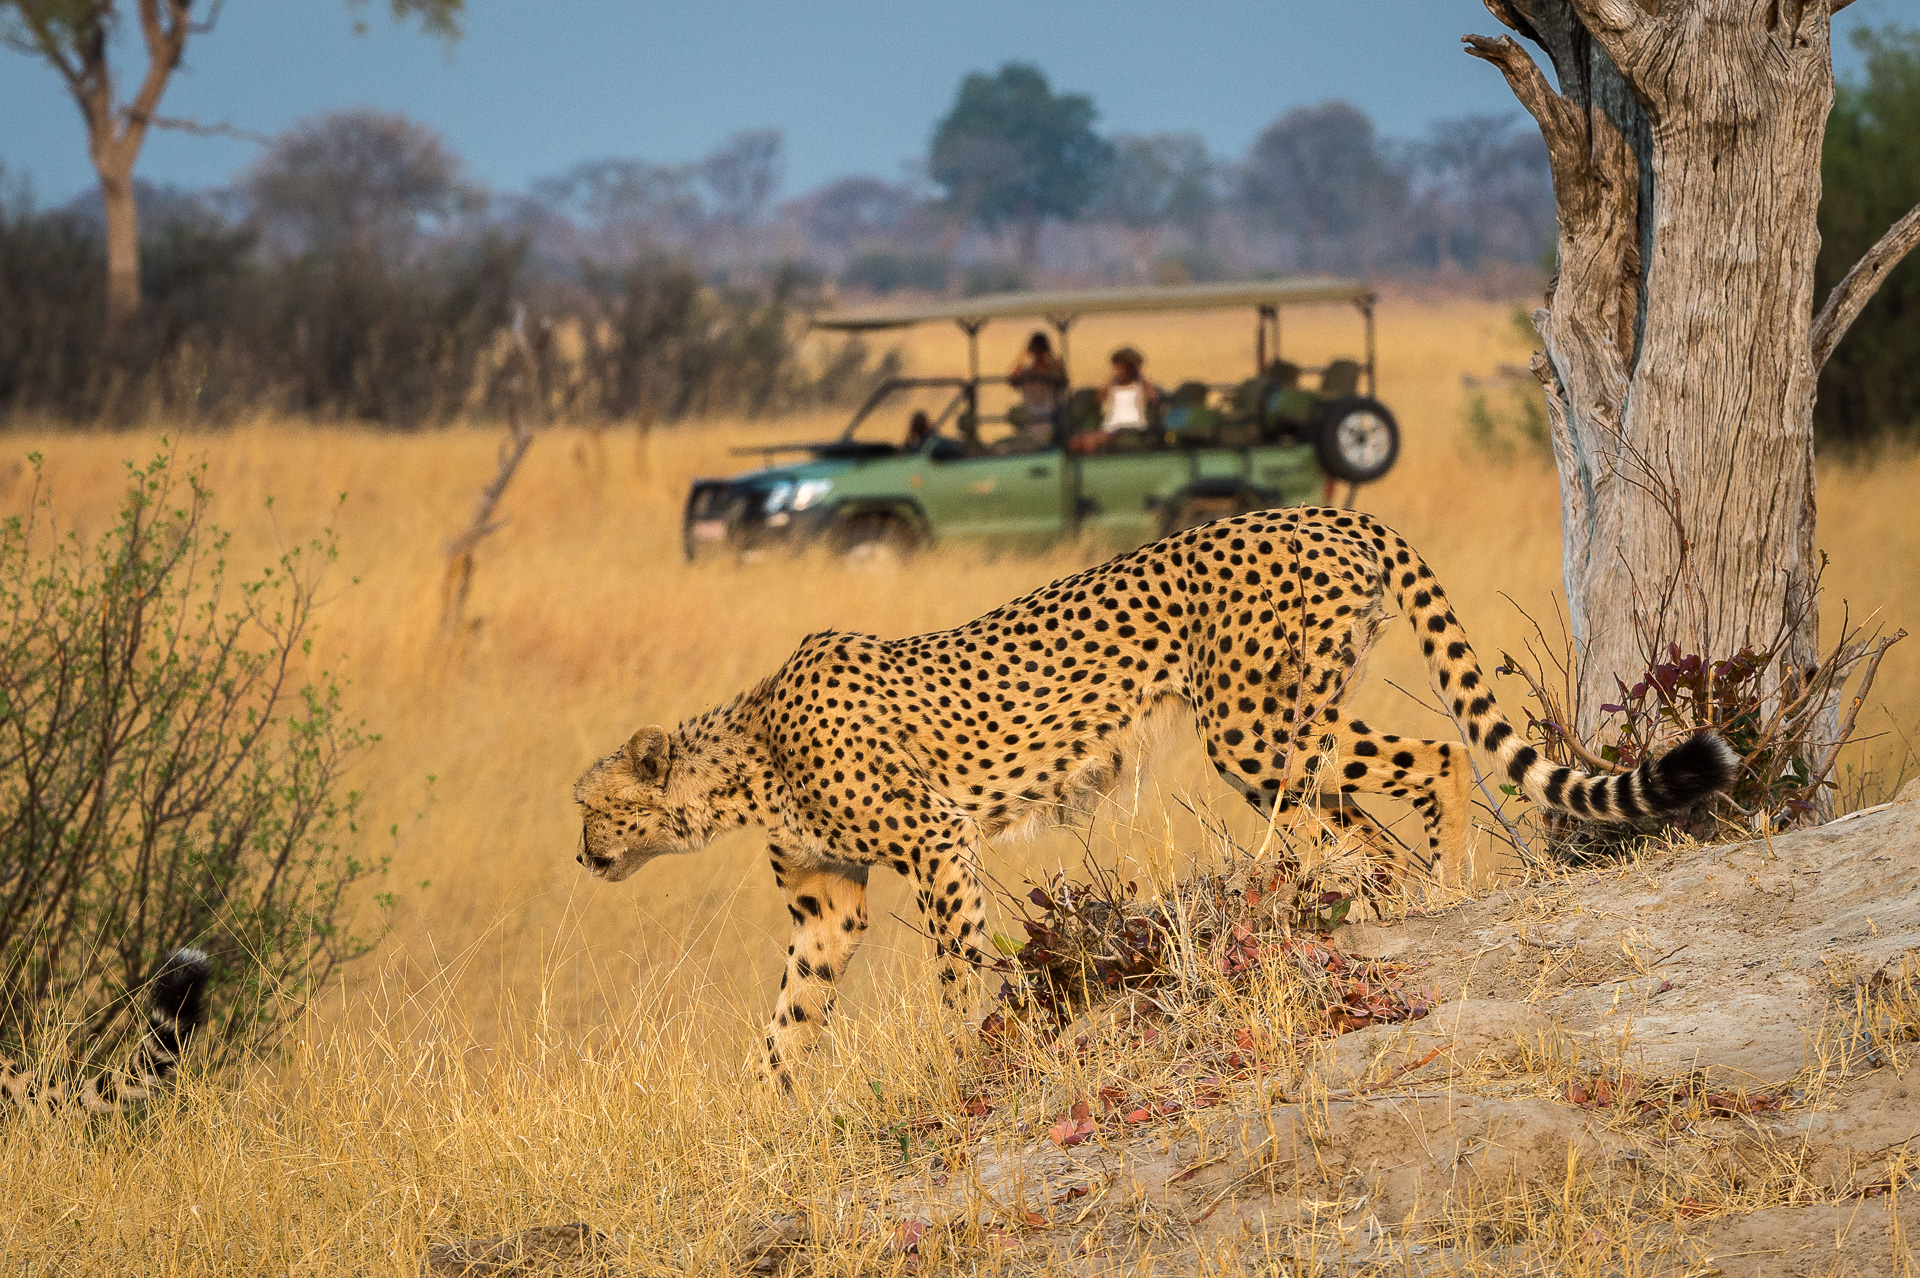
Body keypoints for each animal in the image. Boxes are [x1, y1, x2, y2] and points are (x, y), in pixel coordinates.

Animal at [572, 502, 1743, 1082]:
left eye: (589, 806)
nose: (582, 857)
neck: (744, 754)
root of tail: (1325, 511)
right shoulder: (829, 899)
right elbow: (789, 1016)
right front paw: (770, 1117)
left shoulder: (938, 842)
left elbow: (956, 973)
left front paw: (957, 1061)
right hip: (1285, 725)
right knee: (1376, 816)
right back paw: (1378, 902)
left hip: (1256, 729)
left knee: (1433, 763)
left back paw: (1444, 887)